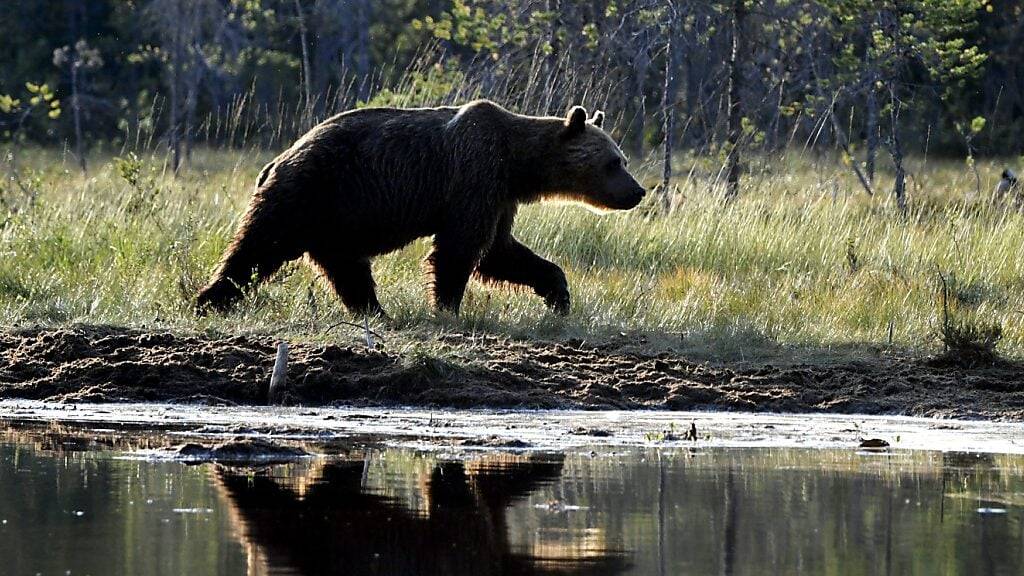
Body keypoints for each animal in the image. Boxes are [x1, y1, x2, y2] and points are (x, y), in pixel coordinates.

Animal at [197, 98, 647, 313]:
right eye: (614, 162)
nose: (638, 192)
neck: (518, 163)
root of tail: (276, 159)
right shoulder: (474, 174)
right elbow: (461, 249)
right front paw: (447, 305)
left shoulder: (499, 195)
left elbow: (501, 251)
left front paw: (559, 295)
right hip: (309, 192)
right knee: (258, 246)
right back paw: (210, 299)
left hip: (334, 219)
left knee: (347, 267)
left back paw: (375, 312)